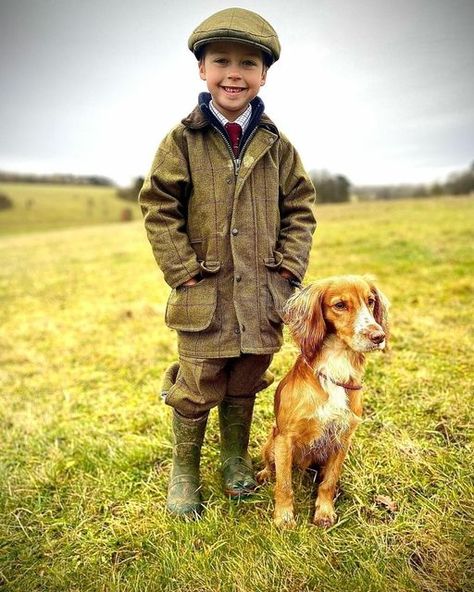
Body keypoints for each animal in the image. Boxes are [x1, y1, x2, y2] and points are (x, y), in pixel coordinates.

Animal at [258, 274, 390, 528]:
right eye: (340, 305)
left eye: (370, 301)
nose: (379, 336)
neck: (336, 364)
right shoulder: (285, 438)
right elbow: (284, 484)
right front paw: (284, 517)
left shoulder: (342, 439)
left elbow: (328, 481)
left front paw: (324, 512)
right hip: (271, 441)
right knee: (272, 465)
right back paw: (265, 474)